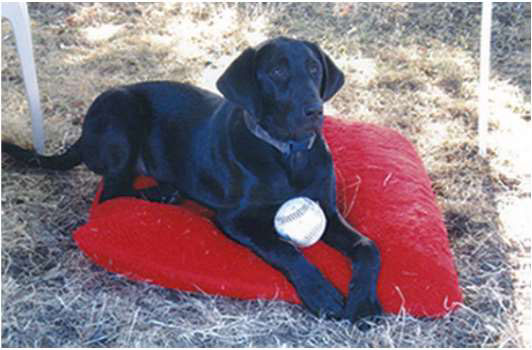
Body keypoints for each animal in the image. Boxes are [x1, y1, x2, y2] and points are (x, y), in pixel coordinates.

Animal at [2, 37, 380, 324]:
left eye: (314, 69)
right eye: (277, 71)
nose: (315, 111)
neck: (288, 155)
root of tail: (82, 134)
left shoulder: (328, 210)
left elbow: (369, 246)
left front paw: (364, 301)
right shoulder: (234, 218)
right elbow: (282, 248)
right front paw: (320, 291)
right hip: (121, 111)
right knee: (112, 194)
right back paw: (163, 193)